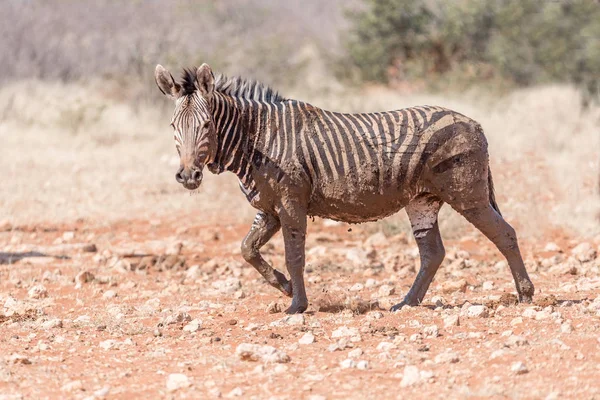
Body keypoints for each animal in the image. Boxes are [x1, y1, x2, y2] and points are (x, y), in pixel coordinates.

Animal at [155, 64, 536, 314]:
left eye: (206, 125)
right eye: (173, 126)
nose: (188, 176)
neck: (258, 139)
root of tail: (474, 122)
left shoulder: (291, 202)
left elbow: (295, 256)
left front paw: (297, 305)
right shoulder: (269, 209)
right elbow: (247, 250)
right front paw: (285, 287)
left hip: (466, 194)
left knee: (504, 234)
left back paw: (526, 295)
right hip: (422, 201)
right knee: (433, 253)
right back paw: (406, 304)